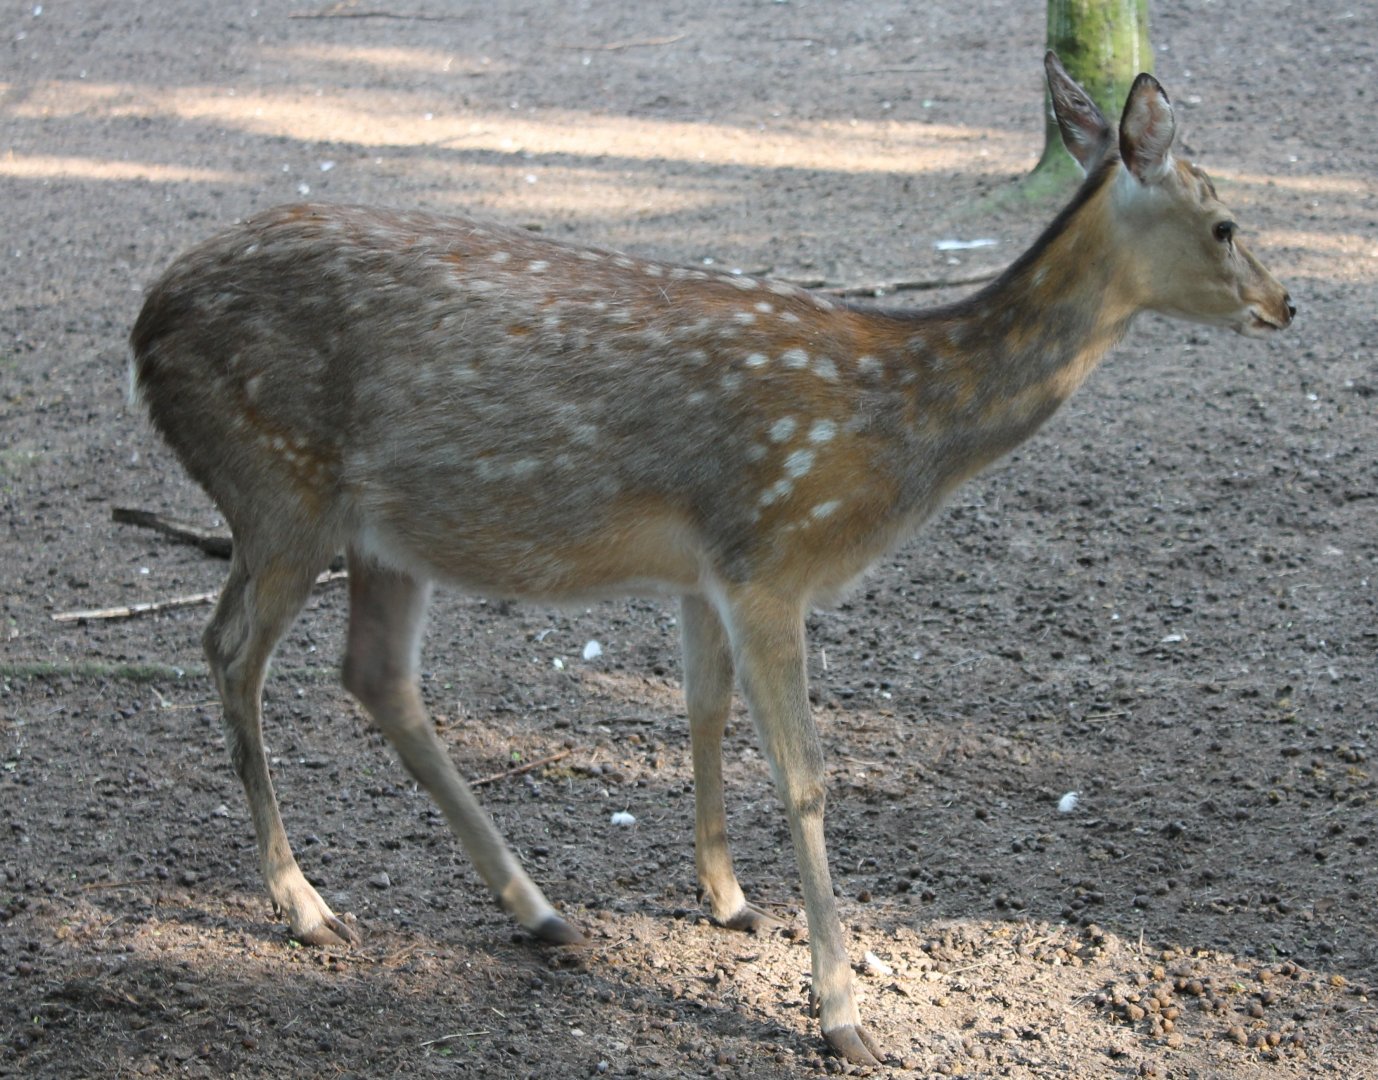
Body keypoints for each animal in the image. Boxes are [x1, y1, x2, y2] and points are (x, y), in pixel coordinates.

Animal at [128, 54, 1292, 1064]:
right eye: (1225, 222)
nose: (1287, 303)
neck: (888, 434)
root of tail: (142, 326)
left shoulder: (705, 574)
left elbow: (702, 709)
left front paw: (728, 900)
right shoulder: (770, 553)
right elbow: (807, 774)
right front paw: (842, 1015)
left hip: (384, 532)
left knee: (374, 674)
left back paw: (540, 910)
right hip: (279, 484)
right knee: (230, 648)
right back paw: (305, 906)